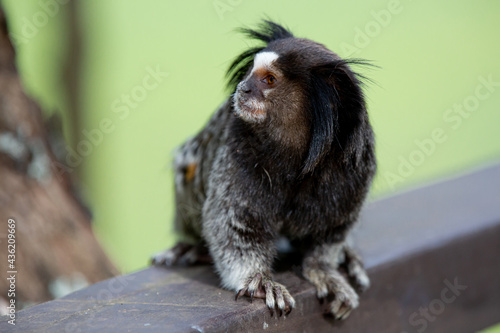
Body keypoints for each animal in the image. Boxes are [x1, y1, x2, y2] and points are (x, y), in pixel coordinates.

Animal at [152, 20, 376, 320]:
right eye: (250, 73)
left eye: (269, 80)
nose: (244, 88)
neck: (298, 155)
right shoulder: (238, 150)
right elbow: (234, 224)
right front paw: (260, 280)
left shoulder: (354, 166)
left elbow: (332, 231)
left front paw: (322, 269)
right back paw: (192, 246)